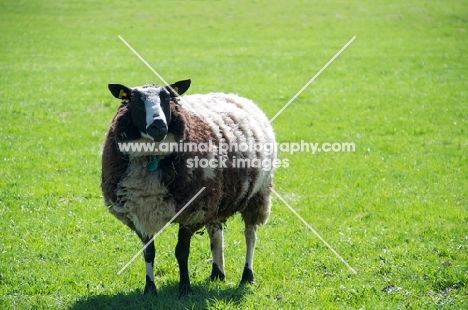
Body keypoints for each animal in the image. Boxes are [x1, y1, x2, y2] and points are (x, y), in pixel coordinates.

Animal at [101, 78, 276, 296]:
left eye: (167, 97)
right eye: (134, 100)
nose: (158, 125)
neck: (152, 158)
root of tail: (235, 96)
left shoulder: (191, 211)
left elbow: (181, 252)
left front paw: (185, 288)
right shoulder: (140, 213)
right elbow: (149, 253)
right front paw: (150, 289)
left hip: (257, 194)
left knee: (250, 236)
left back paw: (247, 276)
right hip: (215, 199)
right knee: (216, 234)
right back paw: (217, 273)